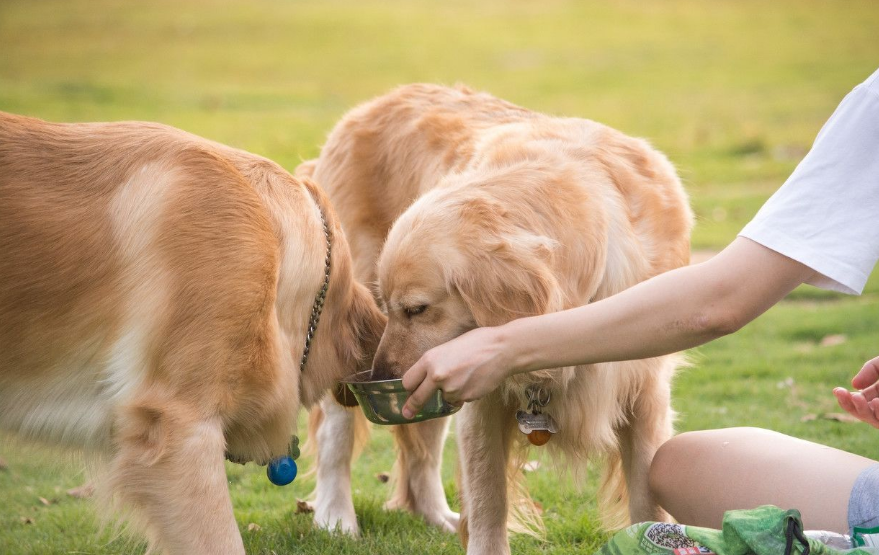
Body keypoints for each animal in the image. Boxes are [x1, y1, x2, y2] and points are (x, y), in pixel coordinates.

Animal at [302, 82, 696, 552]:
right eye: (391, 306)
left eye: (416, 310)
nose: (379, 374)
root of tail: (372, 103)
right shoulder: (482, 399)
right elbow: (489, 499)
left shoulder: (644, 393)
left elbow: (649, 501)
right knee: (336, 436)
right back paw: (335, 518)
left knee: (422, 448)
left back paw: (437, 516)